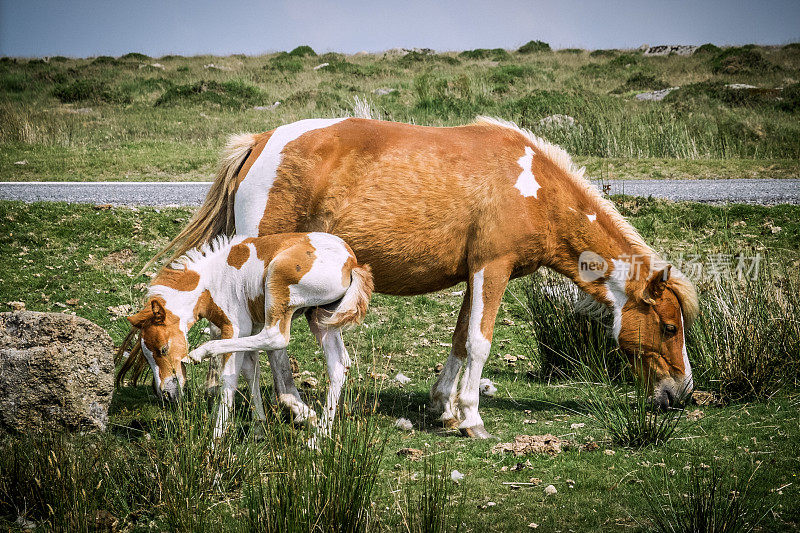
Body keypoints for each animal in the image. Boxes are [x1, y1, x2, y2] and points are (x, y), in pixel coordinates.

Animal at [126, 233, 374, 436]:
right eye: (147, 356)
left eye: (163, 349)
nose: (166, 393)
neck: (213, 282)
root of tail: (352, 262)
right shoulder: (250, 330)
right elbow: (250, 371)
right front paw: (259, 427)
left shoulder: (237, 328)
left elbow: (229, 377)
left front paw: (216, 440)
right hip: (321, 317)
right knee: (338, 364)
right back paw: (319, 436)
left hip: (278, 283)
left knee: (276, 337)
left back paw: (201, 351)